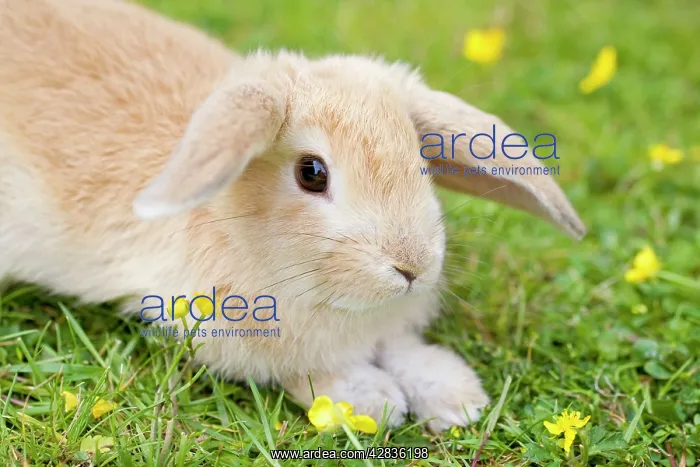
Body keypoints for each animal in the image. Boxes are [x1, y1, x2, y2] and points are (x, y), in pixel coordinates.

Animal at [0, 0, 585, 431]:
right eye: (312, 173)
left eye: (421, 162)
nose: (412, 268)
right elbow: (314, 374)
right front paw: (376, 402)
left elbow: (403, 348)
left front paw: (457, 397)